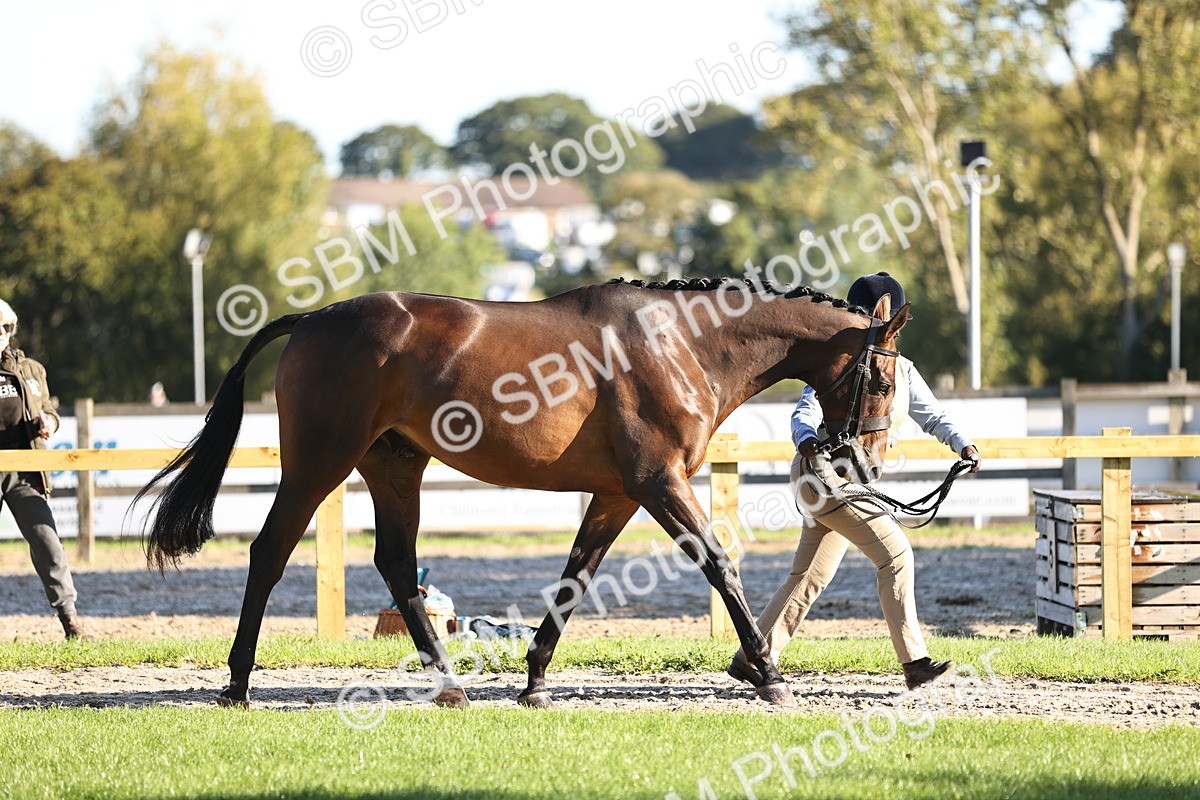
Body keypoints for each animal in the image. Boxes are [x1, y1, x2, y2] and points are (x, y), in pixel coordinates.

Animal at [137, 276, 908, 708]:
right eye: (882, 377)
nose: (865, 461)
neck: (683, 344)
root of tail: (312, 319)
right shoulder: (660, 482)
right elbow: (720, 565)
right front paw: (767, 672)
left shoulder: (618, 494)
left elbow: (575, 579)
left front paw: (534, 681)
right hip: (319, 461)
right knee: (269, 552)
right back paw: (238, 684)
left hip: (395, 466)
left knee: (396, 565)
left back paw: (449, 685)